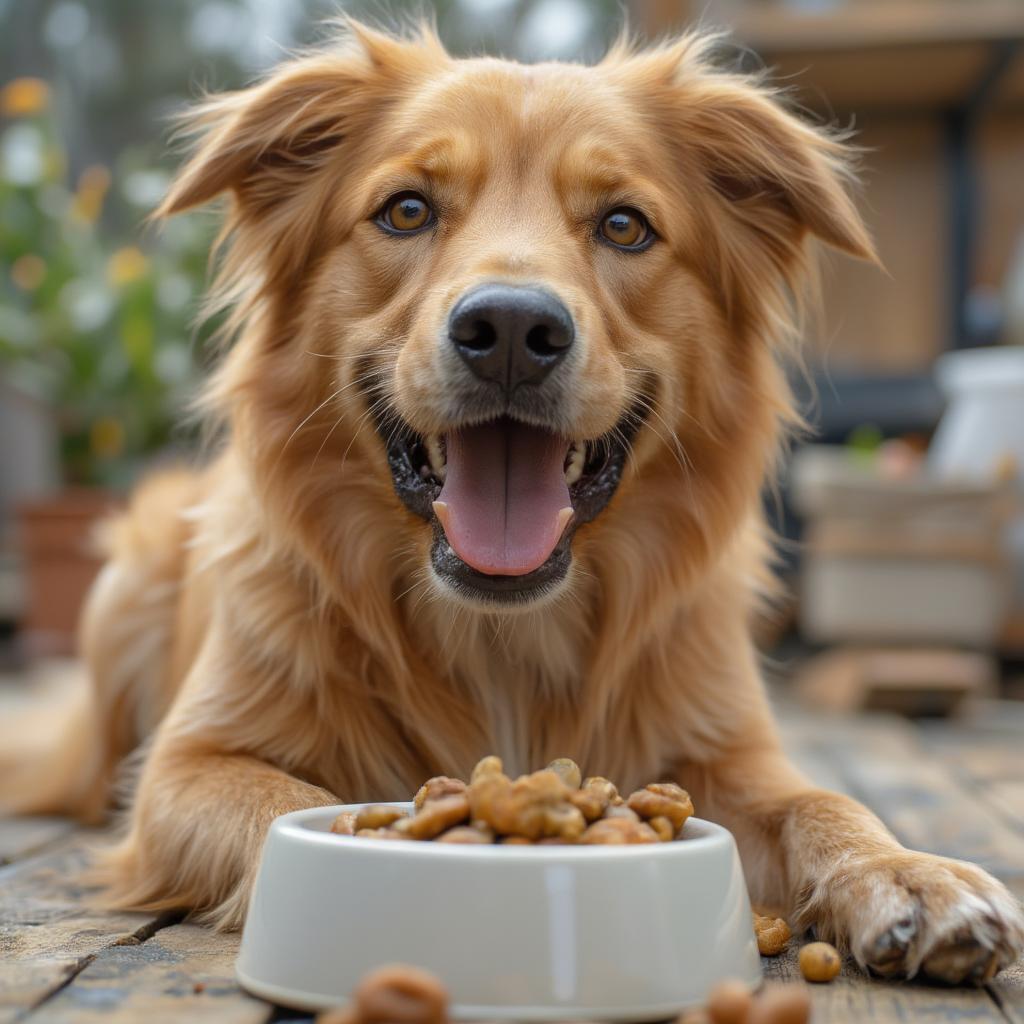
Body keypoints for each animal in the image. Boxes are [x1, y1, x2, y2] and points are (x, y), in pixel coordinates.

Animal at [4, 22, 1019, 983]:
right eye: (407, 210)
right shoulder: (189, 764)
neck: (501, 638)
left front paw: (907, 871)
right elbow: (294, 805)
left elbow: (822, 800)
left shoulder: (731, 754)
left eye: (624, 226)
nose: (510, 330)